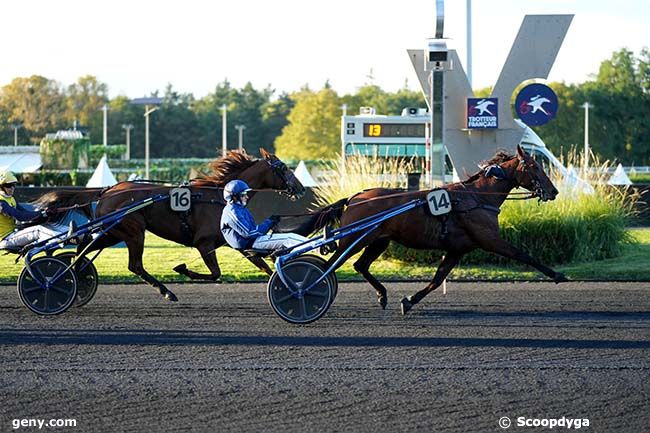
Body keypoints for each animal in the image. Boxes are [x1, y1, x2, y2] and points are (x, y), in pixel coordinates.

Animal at [36, 148, 306, 300]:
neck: (220, 196)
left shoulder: (235, 241)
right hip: (133, 232)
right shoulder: (204, 243)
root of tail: (106, 191)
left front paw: (287, 285)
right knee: (133, 265)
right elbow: (215, 273)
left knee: (83, 250)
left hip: (113, 233)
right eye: (283, 167)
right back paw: (166, 291)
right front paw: (183, 269)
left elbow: (262, 264)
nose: (301, 189)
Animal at [288, 145, 568, 314]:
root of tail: (355, 197)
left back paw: (382, 295)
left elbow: (437, 280)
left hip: (379, 240)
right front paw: (557, 275)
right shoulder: (490, 240)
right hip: (355, 238)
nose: (553, 191)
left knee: (359, 265)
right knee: (329, 266)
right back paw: (306, 289)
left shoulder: (457, 250)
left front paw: (409, 301)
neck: (477, 198)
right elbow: (524, 255)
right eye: (534, 167)